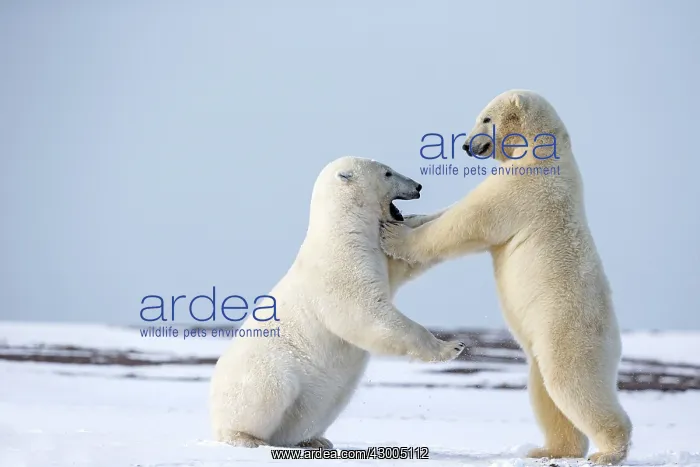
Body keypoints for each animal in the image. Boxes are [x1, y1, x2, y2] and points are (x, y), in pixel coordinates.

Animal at [209, 156, 465, 449]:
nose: (418, 186)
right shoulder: (342, 264)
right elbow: (364, 311)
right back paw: (247, 438)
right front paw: (451, 347)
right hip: (267, 370)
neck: (344, 228)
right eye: (387, 173)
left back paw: (315, 441)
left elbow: (413, 249)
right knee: (267, 393)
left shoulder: (380, 252)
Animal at [380, 90, 632, 465]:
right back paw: (548, 449)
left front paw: (394, 235)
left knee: (573, 385)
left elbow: (467, 221)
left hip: (569, 333)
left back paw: (608, 452)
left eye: (485, 119)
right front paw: (410, 217)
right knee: (545, 390)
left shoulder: (523, 187)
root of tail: (615, 338)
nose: (467, 146)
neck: (543, 149)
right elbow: (449, 213)